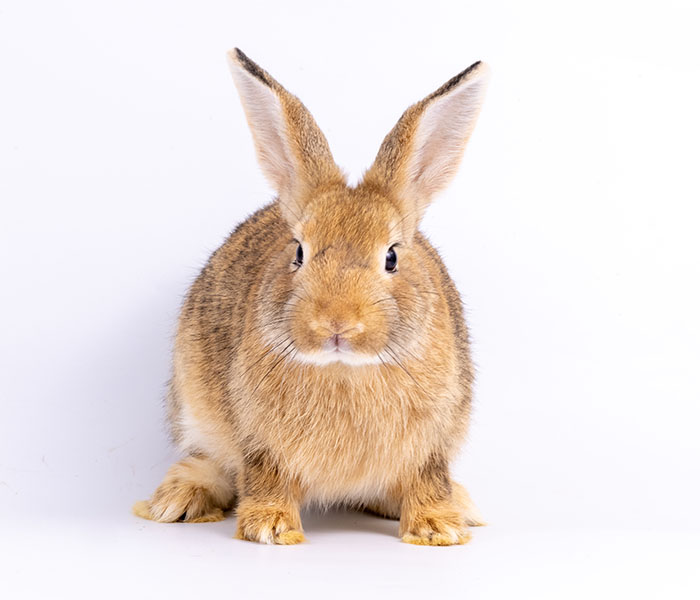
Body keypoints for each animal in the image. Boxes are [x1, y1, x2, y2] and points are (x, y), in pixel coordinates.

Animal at [132, 48, 490, 545]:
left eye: (392, 257)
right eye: (298, 251)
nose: (335, 324)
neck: (344, 369)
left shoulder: (432, 443)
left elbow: (427, 479)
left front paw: (440, 529)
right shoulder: (260, 442)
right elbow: (264, 476)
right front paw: (270, 528)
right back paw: (178, 500)